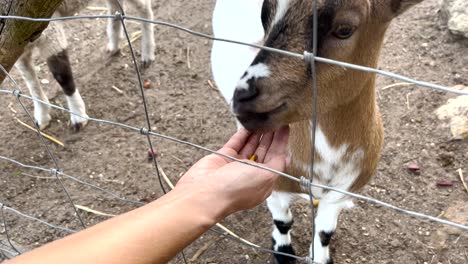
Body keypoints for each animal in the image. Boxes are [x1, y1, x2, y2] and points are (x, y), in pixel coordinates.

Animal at [15, 0, 154, 130]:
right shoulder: (18, 48)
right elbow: (31, 82)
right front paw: (42, 116)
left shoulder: (50, 32)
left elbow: (63, 77)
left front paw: (78, 116)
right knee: (117, 9)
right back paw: (114, 45)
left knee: (144, 6)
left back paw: (147, 53)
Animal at [212, 0, 424, 264]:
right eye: (264, 16)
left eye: (344, 29)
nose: (243, 99)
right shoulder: (274, 183)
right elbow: (283, 221)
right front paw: (283, 252)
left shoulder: (340, 192)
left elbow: (325, 232)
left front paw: (320, 257)